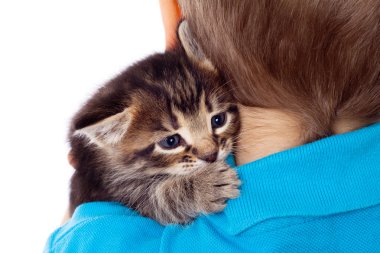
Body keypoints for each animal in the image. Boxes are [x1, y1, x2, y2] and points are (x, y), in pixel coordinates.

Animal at [68, 20, 240, 224]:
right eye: (171, 141)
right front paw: (203, 187)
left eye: (218, 120)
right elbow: (153, 199)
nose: (211, 155)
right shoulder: (111, 186)